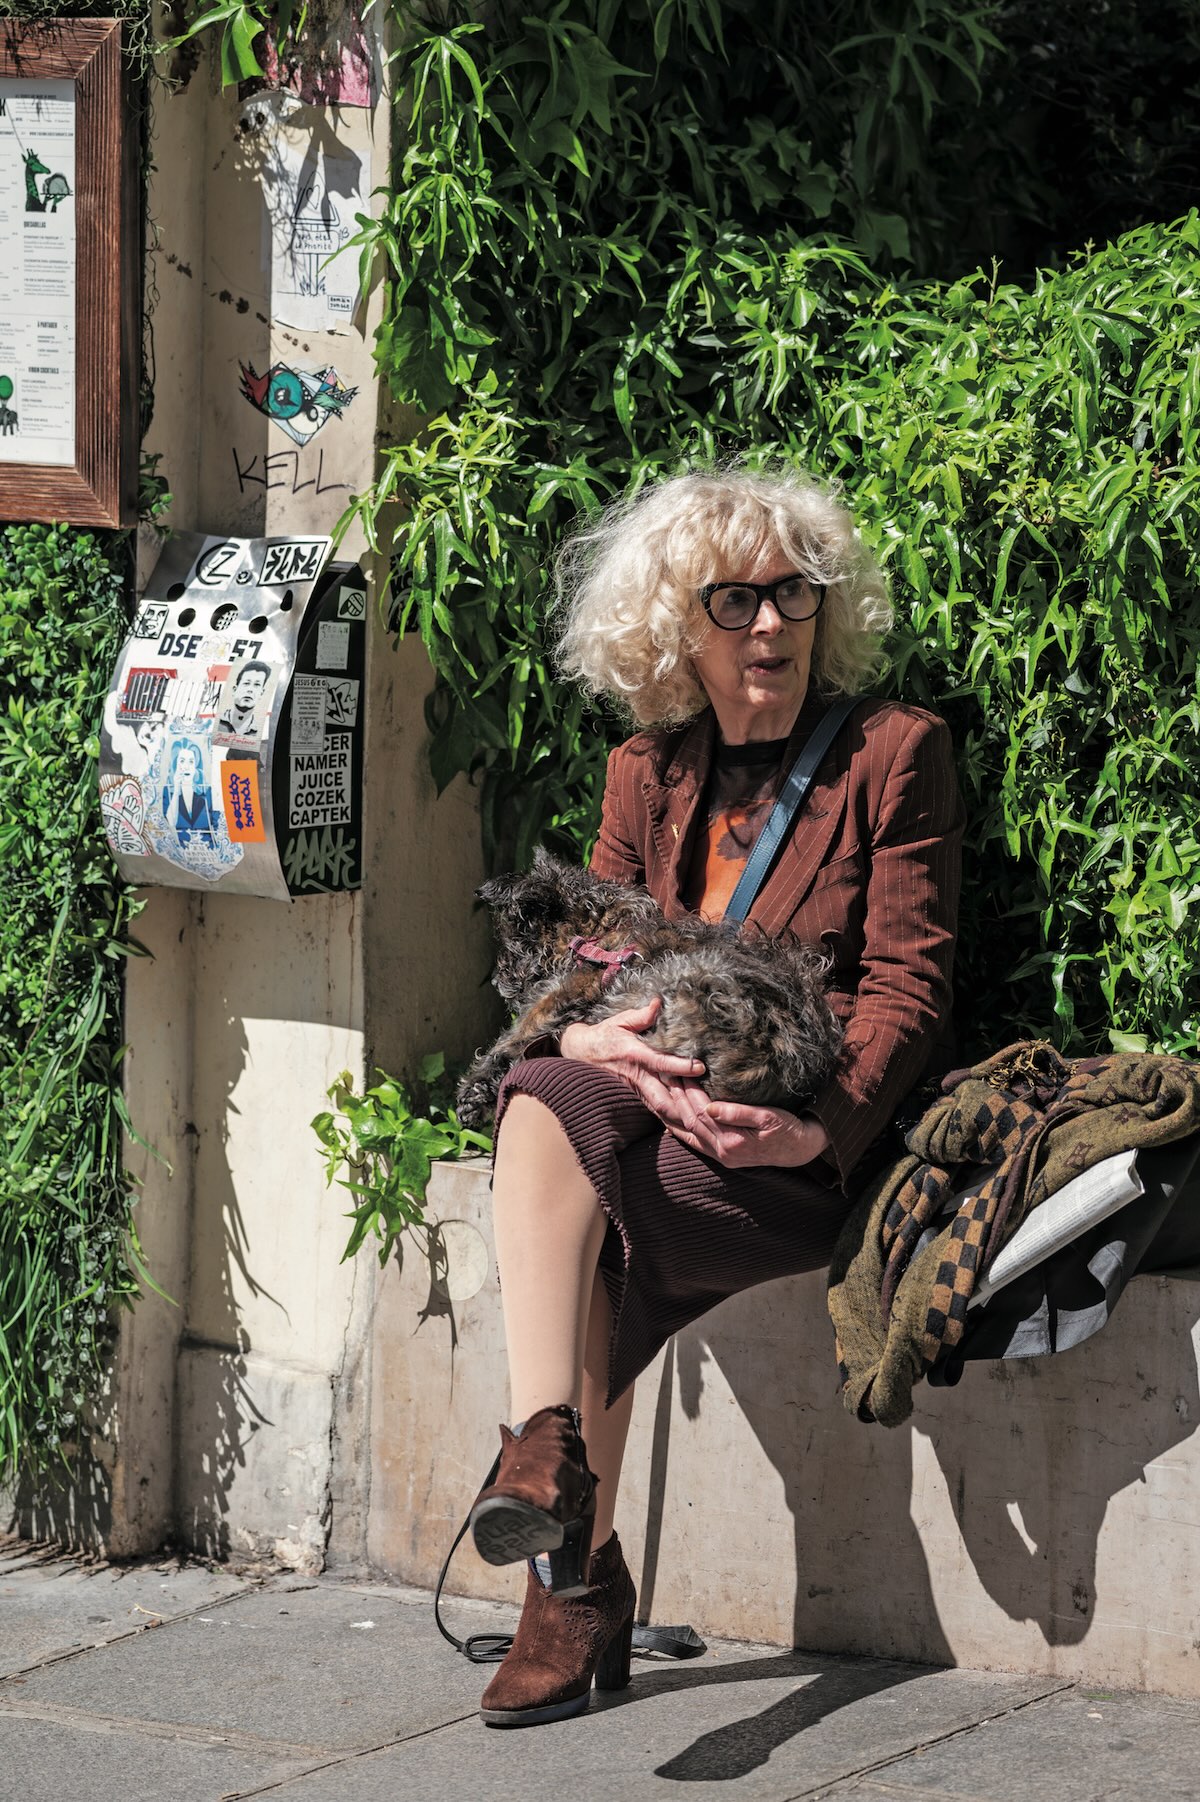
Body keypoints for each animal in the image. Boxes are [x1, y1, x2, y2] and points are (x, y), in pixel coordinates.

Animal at [456, 850, 844, 1129]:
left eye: (511, 945)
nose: (496, 981)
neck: (597, 933)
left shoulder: (560, 997)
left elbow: (511, 1040)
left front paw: (473, 1093)